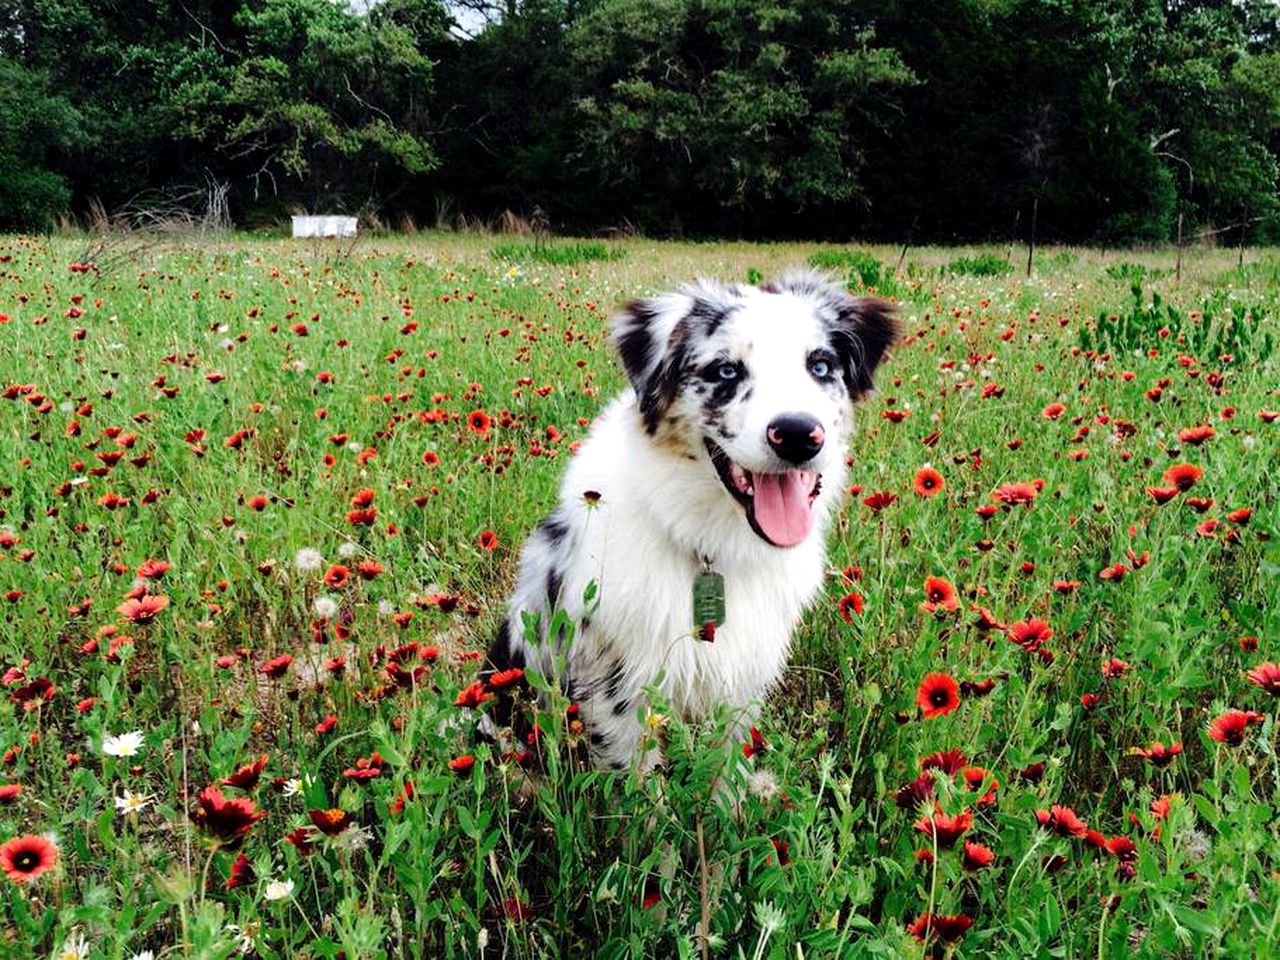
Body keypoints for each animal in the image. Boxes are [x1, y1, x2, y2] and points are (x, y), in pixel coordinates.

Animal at [483, 271, 896, 773]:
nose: (799, 435)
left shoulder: (742, 677)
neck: (712, 543)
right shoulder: (619, 687)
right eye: (726, 371)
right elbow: (638, 782)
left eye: (820, 366)